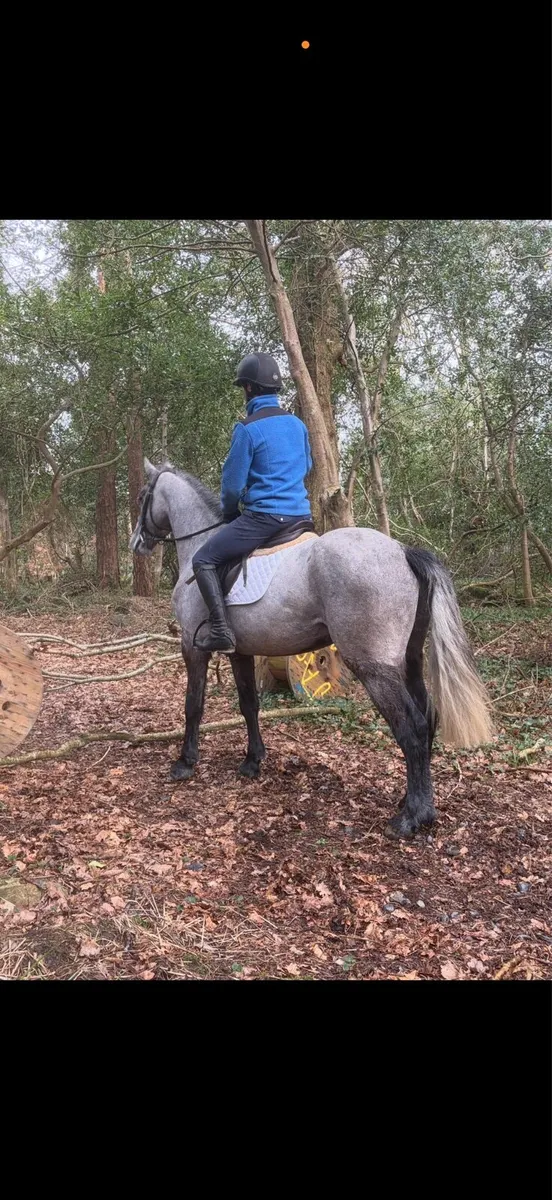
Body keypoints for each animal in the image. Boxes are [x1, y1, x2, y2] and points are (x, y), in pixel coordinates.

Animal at [130, 459, 493, 840]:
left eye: (142, 496)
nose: (137, 542)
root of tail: (403, 552)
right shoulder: (240, 652)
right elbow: (249, 705)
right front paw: (252, 761)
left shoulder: (192, 646)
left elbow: (193, 705)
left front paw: (185, 762)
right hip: (408, 662)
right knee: (428, 716)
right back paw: (414, 801)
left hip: (375, 668)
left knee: (413, 727)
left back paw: (412, 816)